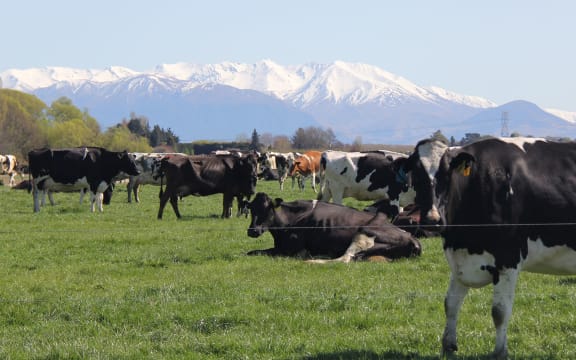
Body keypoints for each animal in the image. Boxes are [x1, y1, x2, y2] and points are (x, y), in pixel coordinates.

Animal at [245, 191, 420, 262]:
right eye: (251, 209)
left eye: (267, 209)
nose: (252, 231)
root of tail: (412, 238)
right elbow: (251, 252)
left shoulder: (292, 249)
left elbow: (258, 252)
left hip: (365, 233)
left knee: (347, 258)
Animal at [402, 136, 576, 358]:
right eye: (416, 174)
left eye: (447, 173)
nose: (433, 220)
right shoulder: (460, 260)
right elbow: (450, 304)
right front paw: (448, 345)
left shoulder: (508, 258)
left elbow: (499, 311)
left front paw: (500, 352)